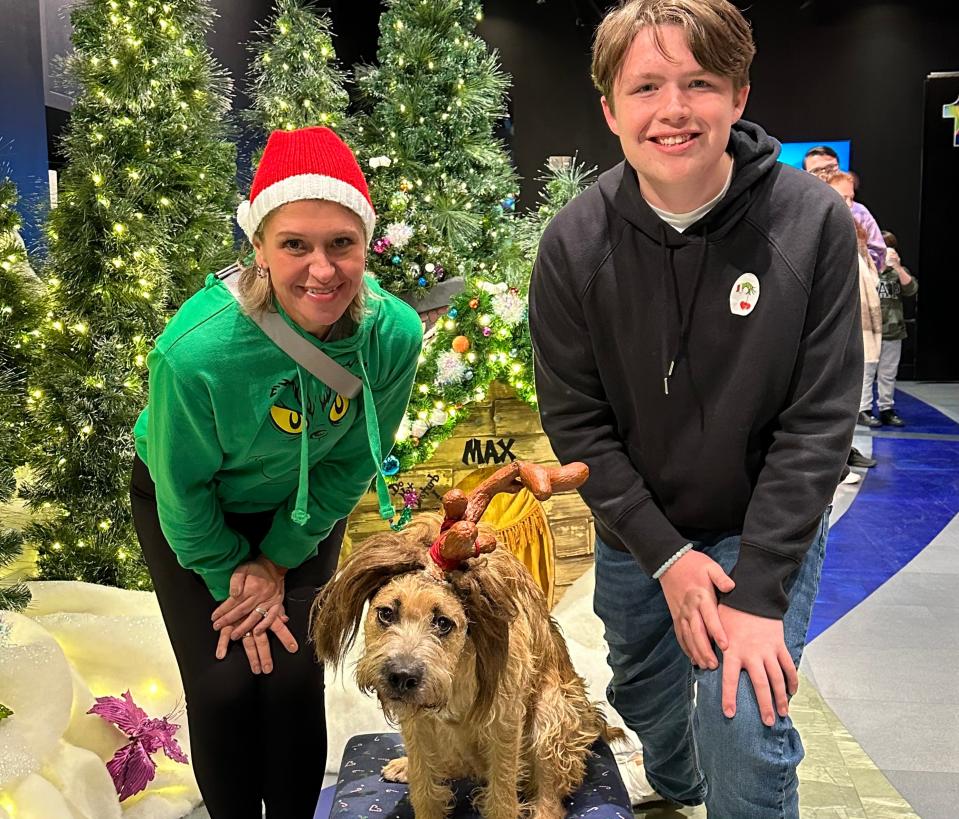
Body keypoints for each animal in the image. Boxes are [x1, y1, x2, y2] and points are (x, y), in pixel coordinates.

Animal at [312, 464, 620, 816]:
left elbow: (502, 795)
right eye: (386, 613)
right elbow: (425, 788)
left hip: (551, 712)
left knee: (550, 793)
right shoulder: (417, 723)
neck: (459, 667)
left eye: (443, 623)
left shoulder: (504, 721)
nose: (401, 677)